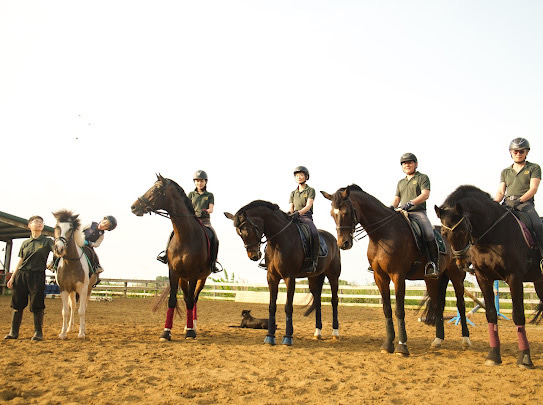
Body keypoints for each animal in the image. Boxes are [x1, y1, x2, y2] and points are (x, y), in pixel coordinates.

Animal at [52, 208, 97, 338]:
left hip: (88, 289)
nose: (59, 248)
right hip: (72, 291)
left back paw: (83, 329)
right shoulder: (63, 289)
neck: (71, 262)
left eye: (70, 229)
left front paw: (81, 333)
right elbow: (65, 311)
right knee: (72, 307)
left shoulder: (83, 289)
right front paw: (63, 333)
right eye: (57, 226)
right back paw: (70, 328)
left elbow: (81, 311)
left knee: (84, 307)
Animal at [132, 174, 212, 340]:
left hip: (202, 278)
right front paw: (166, 332)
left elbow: (190, 301)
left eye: (155, 190)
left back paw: (193, 325)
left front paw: (190, 332)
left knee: (194, 298)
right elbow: (172, 300)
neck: (185, 236)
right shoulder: (174, 272)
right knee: (188, 298)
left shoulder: (194, 274)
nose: (134, 207)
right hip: (183, 278)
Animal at [224, 199, 342, 344]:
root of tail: (333, 239)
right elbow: (272, 306)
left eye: (249, 230)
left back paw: (335, 333)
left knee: (334, 301)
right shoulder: (272, 277)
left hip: (333, 276)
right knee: (318, 302)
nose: (254, 256)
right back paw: (317, 333)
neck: (279, 240)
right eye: (239, 233)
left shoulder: (289, 277)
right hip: (314, 279)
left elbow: (288, 307)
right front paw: (270, 337)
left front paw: (288, 337)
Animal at [324, 185, 472, 356]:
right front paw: (388, 344)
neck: (382, 234)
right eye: (332, 214)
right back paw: (438, 340)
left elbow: (399, 310)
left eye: (346, 212)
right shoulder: (380, 277)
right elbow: (387, 309)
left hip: (457, 276)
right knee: (437, 306)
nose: (343, 244)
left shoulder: (398, 276)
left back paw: (466, 341)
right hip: (432, 279)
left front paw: (402, 346)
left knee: (461, 305)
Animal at [436, 185, 543, 368]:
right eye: (444, 232)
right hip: (539, 282)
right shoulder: (483, 278)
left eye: (463, 230)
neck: (492, 236)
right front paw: (493, 355)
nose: (461, 261)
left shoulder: (514, 278)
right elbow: (491, 314)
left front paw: (525, 358)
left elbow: (518, 315)